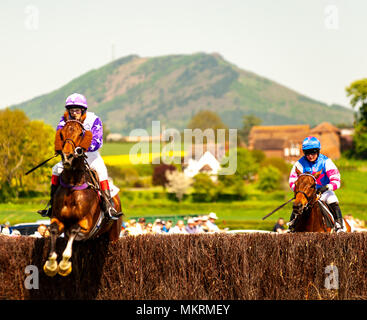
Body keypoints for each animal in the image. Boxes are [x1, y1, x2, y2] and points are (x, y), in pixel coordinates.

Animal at [43, 119, 123, 276]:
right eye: (61, 133)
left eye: (81, 133)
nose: (67, 156)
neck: (73, 184)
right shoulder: (57, 218)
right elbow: (54, 229)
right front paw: (51, 264)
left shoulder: (86, 223)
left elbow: (74, 229)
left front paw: (64, 265)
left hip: (114, 234)